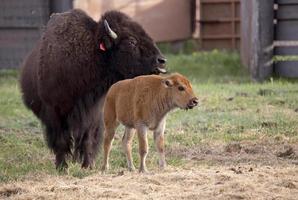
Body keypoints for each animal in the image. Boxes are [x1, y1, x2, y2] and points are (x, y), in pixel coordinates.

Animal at [19, 8, 166, 170]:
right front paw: (62, 167)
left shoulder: (93, 113)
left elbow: (88, 139)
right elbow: (61, 140)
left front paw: (88, 165)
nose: (161, 60)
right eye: (131, 41)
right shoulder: (54, 112)